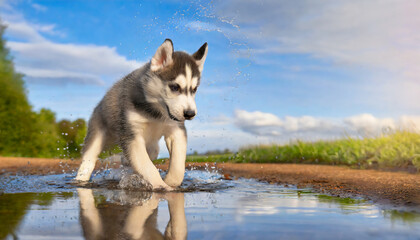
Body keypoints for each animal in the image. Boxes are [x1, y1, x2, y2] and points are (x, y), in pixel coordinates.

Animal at [75, 38, 208, 190]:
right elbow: (147, 166)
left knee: (150, 153)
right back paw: (81, 179)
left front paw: (171, 182)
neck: (156, 112)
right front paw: (160, 186)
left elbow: (178, 165)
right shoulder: (131, 135)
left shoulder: (176, 130)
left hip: (151, 143)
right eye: (175, 87)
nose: (190, 114)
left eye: (194, 89)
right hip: (98, 134)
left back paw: (124, 159)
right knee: (89, 159)